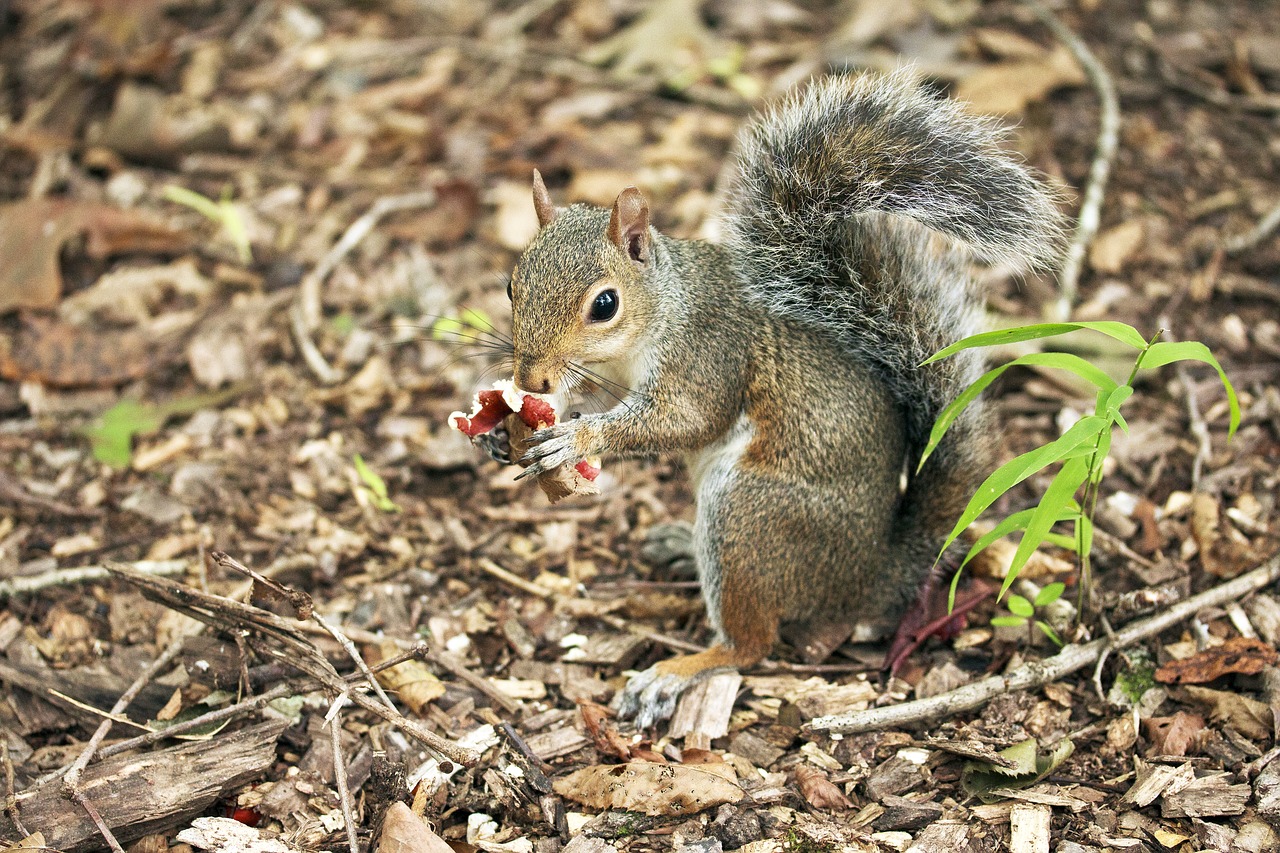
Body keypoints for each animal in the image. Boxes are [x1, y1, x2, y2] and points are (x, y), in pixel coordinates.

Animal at [504, 70, 1064, 727]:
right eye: (511, 285)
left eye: (605, 304)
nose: (530, 378)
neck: (662, 308)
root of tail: (867, 577)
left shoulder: (709, 354)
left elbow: (687, 420)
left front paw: (576, 436)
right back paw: (677, 546)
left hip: (748, 515)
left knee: (751, 644)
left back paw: (675, 673)